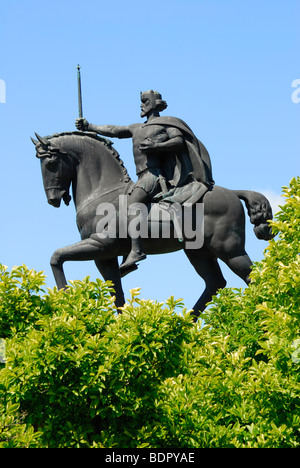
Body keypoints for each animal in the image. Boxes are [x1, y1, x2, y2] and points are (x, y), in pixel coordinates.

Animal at [31, 132, 274, 322]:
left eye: (51, 163)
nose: (52, 199)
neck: (102, 193)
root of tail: (233, 193)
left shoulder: (99, 246)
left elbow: (57, 257)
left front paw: (64, 300)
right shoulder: (105, 257)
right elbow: (116, 293)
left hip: (229, 250)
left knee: (252, 277)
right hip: (199, 252)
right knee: (215, 283)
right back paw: (185, 324)